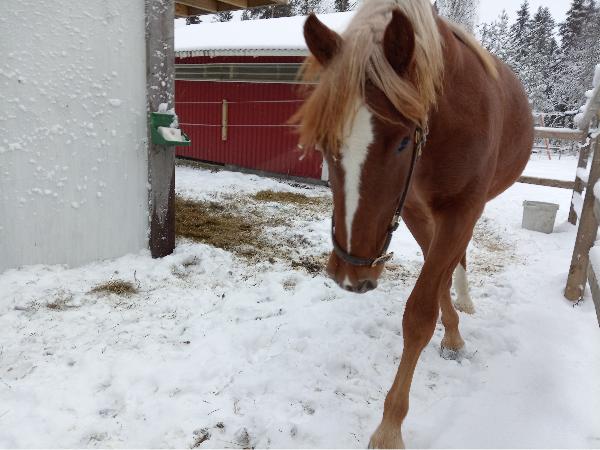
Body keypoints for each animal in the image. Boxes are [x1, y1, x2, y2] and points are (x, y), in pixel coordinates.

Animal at [291, 0, 533, 447]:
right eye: (325, 142)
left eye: (404, 141)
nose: (351, 275)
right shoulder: (415, 209)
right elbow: (432, 285)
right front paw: (451, 333)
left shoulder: (462, 208)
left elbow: (420, 312)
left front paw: (389, 427)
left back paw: (464, 300)